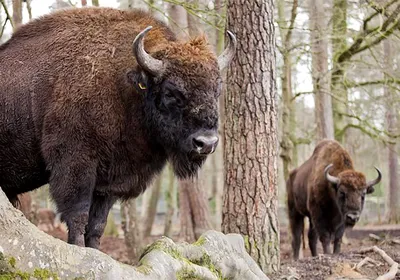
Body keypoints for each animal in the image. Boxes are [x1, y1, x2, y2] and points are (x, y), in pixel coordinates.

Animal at [0, 6, 236, 248]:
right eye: (171, 92)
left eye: (217, 90)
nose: (206, 143)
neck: (126, 87)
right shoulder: (75, 165)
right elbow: (78, 216)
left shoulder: (110, 180)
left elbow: (97, 224)